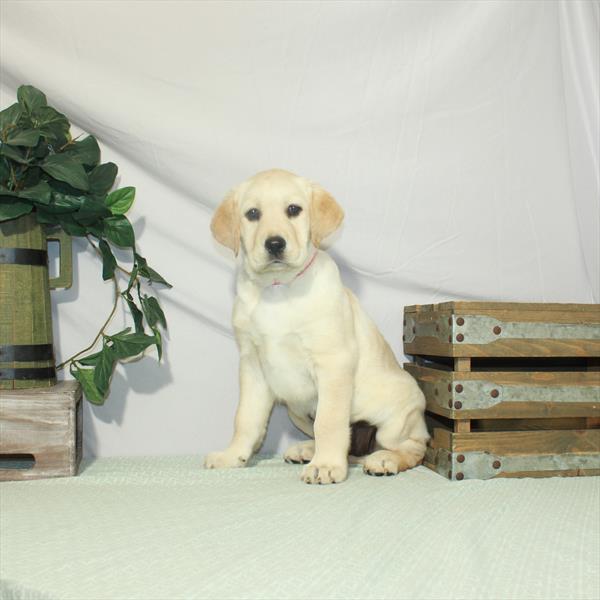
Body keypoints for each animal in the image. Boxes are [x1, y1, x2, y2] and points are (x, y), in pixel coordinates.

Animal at [204, 168, 428, 482]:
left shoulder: (333, 362)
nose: (275, 244)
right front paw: (232, 455)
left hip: (398, 415)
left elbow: (329, 421)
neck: (278, 288)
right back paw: (308, 450)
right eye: (252, 214)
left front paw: (327, 466)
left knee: (414, 448)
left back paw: (384, 460)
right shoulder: (252, 365)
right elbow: (245, 418)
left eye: (293, 209)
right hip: (297, 411)